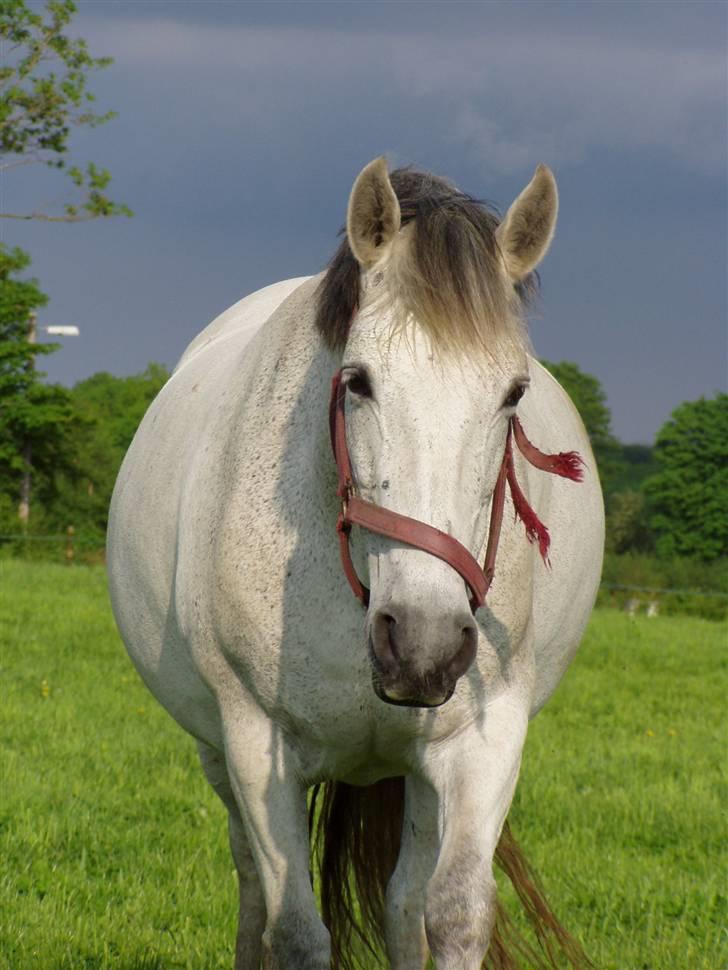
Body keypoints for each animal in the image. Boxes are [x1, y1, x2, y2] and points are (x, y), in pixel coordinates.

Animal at [108, 159, 604, 968]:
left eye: (514, 393)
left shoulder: (484, 740)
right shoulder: (256, 745)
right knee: (253, 886)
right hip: (216, 754)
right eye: (359, 380)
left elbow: (456, 912)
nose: (424, 642)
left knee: (405, 901)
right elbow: (295, 931)